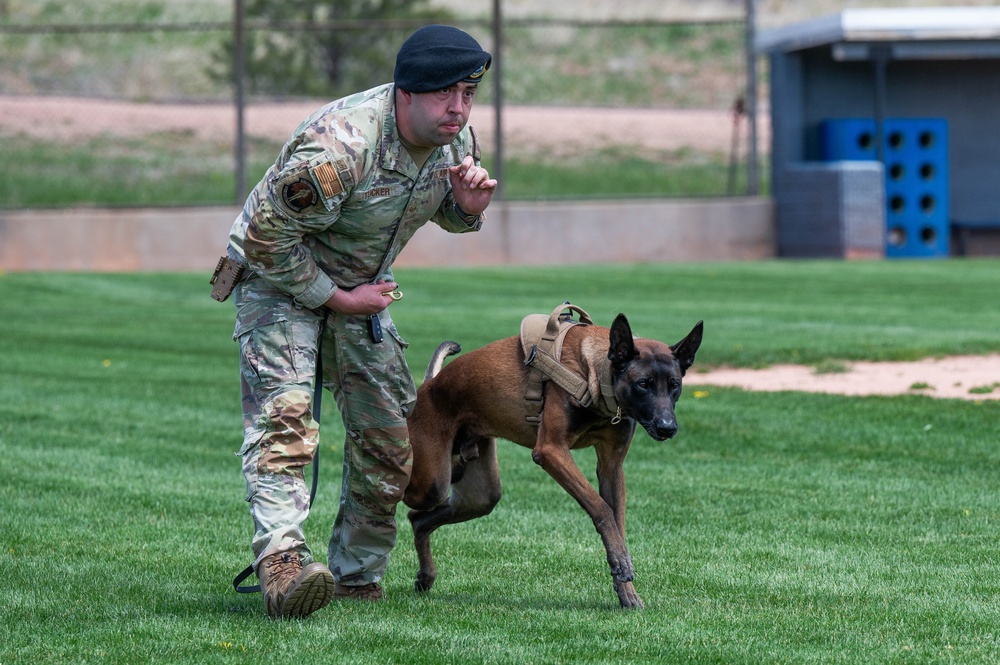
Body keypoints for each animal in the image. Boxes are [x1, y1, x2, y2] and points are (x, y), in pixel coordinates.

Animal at [400, 306, 704, 608]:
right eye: (643, 384)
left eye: (675, 385)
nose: (667, 428)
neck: (594, 372)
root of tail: (429, 385)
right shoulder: (551, 450)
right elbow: (601, 509)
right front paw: (621, 564)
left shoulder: (611, 466)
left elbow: (617, 523)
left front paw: (626, 590)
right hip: (431, 482)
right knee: (406, 499)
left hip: (479, 495)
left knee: (418, 519)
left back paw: (425, 576)